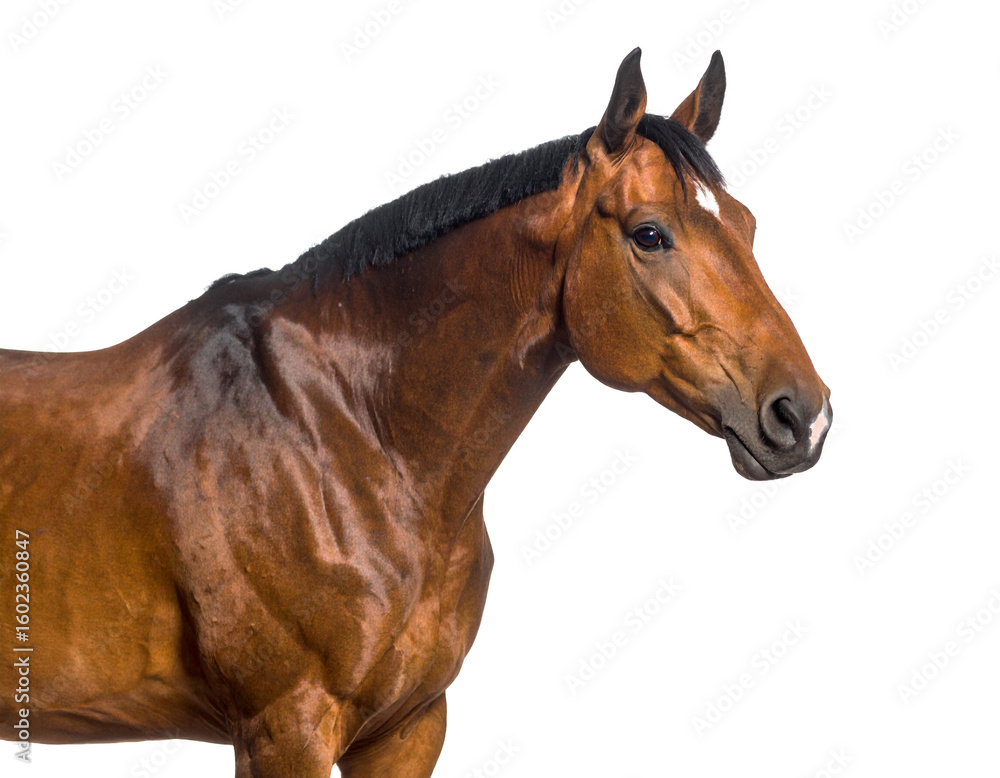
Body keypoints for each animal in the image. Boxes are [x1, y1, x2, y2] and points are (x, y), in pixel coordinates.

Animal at [0, 48, 831, 777]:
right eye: (649, 234)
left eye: (748, 225)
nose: (802, 416)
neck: (348, 437)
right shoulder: (285, 729)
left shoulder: (406, 728)